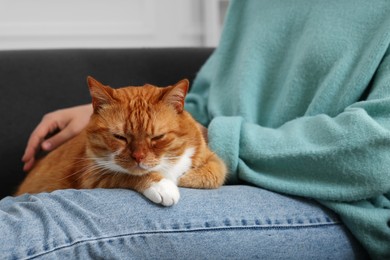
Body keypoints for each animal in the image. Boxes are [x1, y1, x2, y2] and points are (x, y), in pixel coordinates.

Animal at [15, 76, 227, 206]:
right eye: (120, 137)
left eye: (157, 137)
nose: (139, 157)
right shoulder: (92, 175)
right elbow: (127, 174)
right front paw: (162, 185)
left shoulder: (210, 157)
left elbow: (215, 173)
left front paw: (184, 177)